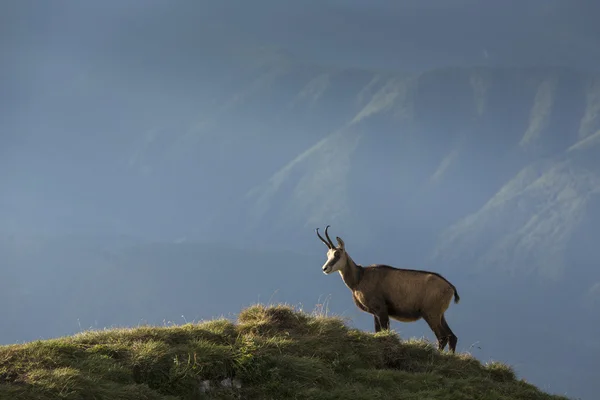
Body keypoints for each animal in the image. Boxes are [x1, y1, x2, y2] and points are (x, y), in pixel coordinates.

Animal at [316, 225, 462, 354]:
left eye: (337, 254)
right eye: (328, 254)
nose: (325, 268)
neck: (360, 277)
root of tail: (450, 287)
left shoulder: (381, 309)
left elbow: (385, 331)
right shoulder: (375, 313)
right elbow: (378, 331)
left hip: (431, 314)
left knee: (442, 337)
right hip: (439, 314)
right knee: (452, 336)